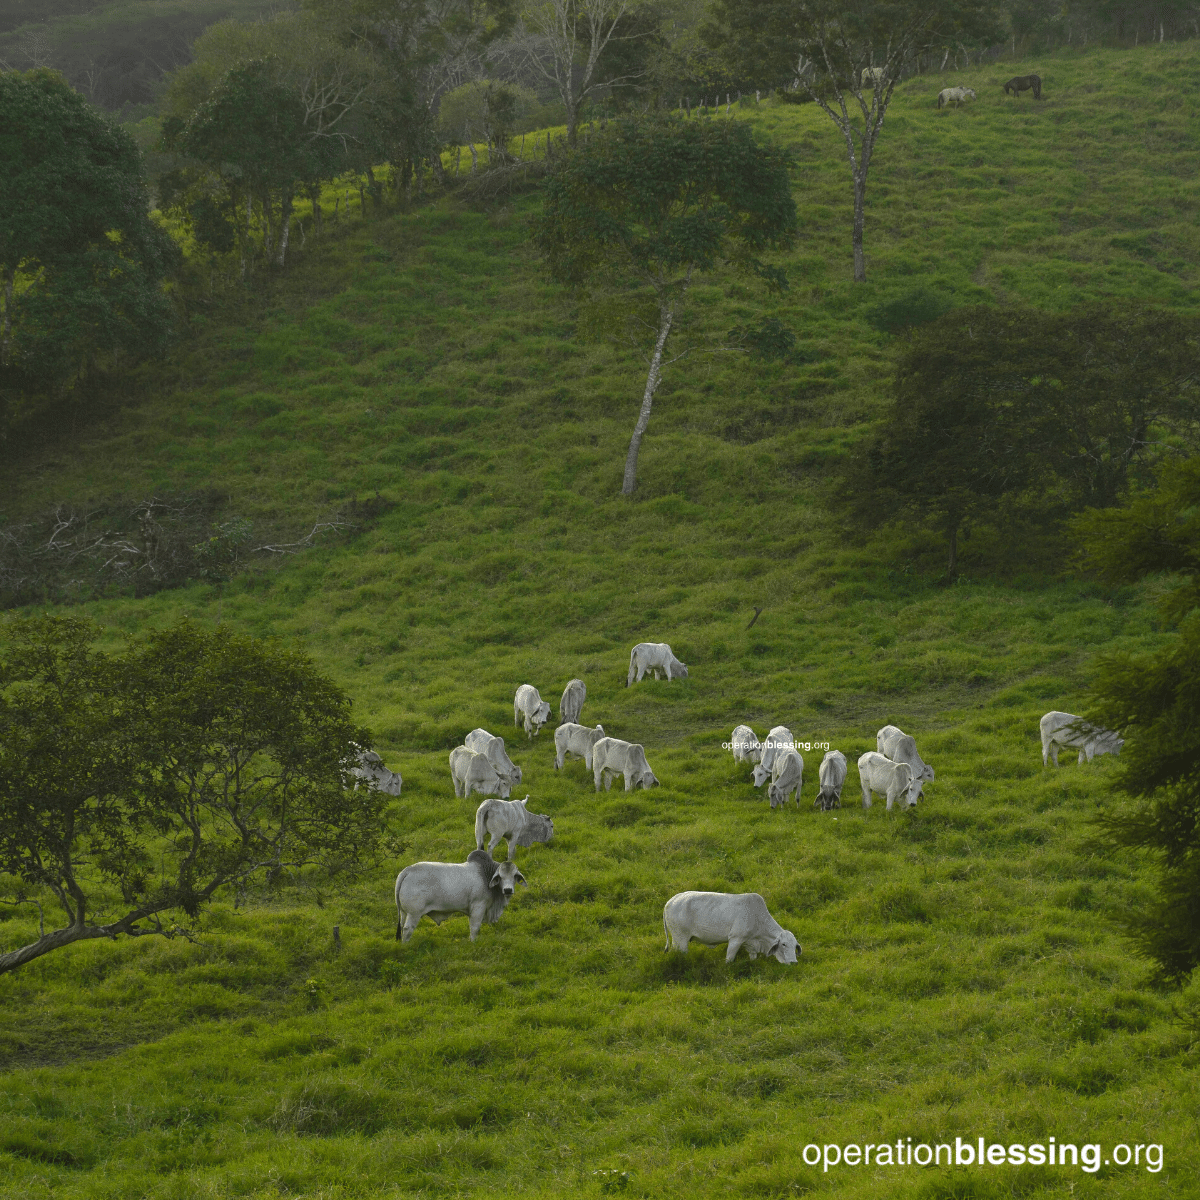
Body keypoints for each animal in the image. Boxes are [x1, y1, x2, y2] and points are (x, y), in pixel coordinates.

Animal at [393, 849, 525, 940]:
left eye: (514, 876)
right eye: (500, 876)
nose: (508, 890)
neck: (486, 875)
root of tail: (408, 870)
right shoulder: (478, 906)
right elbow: (474, 928)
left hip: (404, 912)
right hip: (414, 913)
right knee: (407, 929)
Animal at [662, 892, 801, 964]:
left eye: (795, 946)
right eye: (783, 944)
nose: (794, 962)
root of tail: (670, 901)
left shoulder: (751, 945)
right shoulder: (735, 939)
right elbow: (729, 959)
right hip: (680, 939)